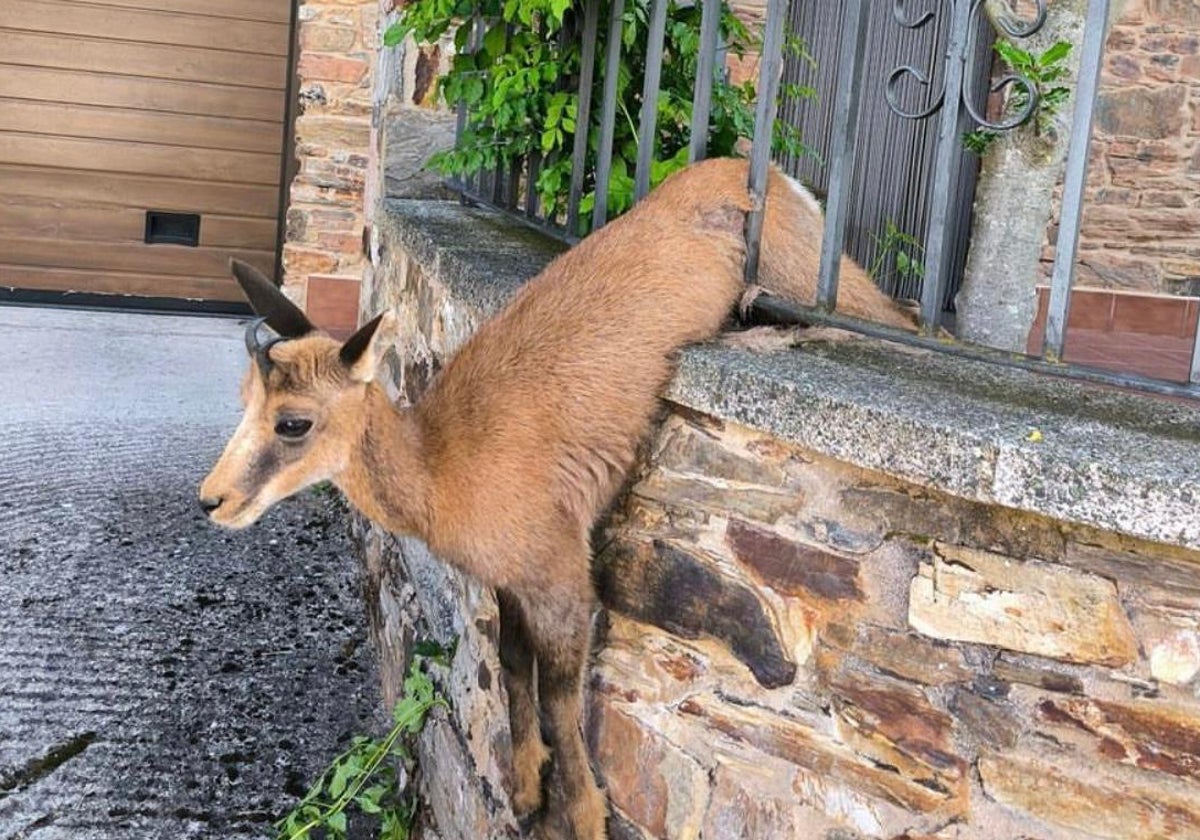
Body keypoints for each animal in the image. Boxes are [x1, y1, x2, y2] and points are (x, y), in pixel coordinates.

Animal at [201, 157, 912, 840]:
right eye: (244, 397)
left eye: (294, 422)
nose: (213, 501)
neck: (442, 468)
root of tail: (746, 170)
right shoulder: (511, 586)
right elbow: (513, 667)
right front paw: (523, 790)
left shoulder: (564, 585)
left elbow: (562, 697)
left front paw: (584, 818)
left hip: (819, 281)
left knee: (897, 319)